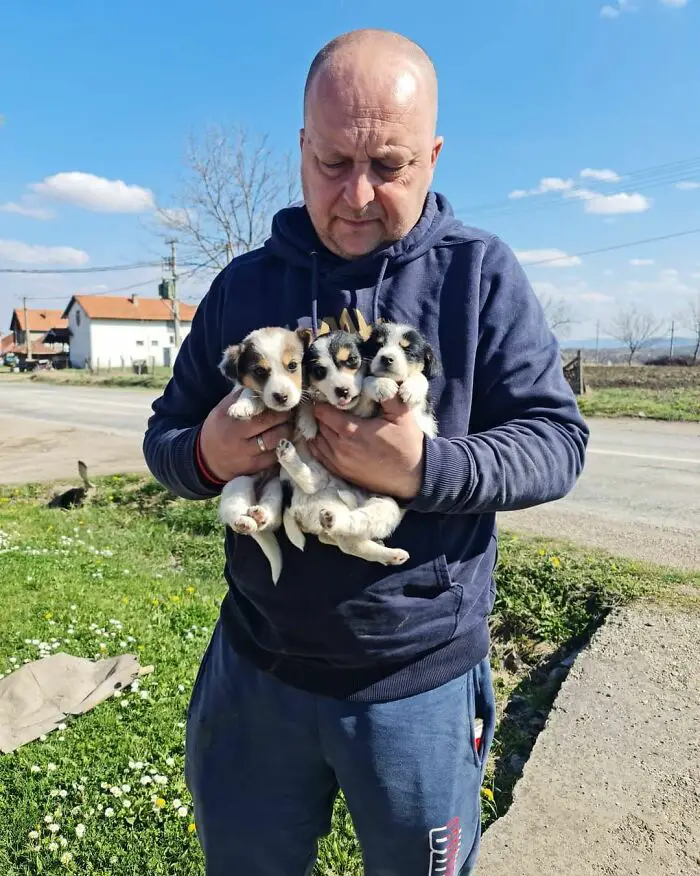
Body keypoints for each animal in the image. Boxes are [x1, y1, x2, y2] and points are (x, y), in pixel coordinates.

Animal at [216, 326, 308, 584]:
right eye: (259, 371)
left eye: (293, 366)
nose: (281, 397)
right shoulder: (241, 389)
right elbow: (248, 391)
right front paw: (243, 406)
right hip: (238, 486)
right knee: (237, 517)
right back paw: (246, 520)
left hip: (274, 490)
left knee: (271, 519)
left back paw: (259, 514)